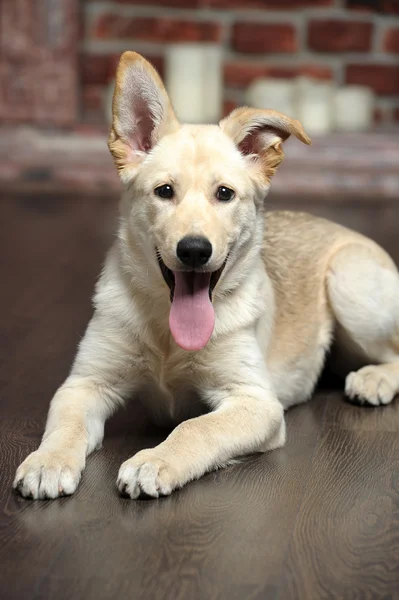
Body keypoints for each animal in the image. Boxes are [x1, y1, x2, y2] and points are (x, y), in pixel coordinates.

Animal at [14, 52, 399, 502]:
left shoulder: (256, 401)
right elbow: (66, 426)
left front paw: (154, 461)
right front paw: (48, 461)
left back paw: (374, 379)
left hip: (348, 281)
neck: (167, 330)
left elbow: (195, 427)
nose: (195, 250)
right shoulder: (84, 384)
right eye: (164, 191)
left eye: (225, 194)